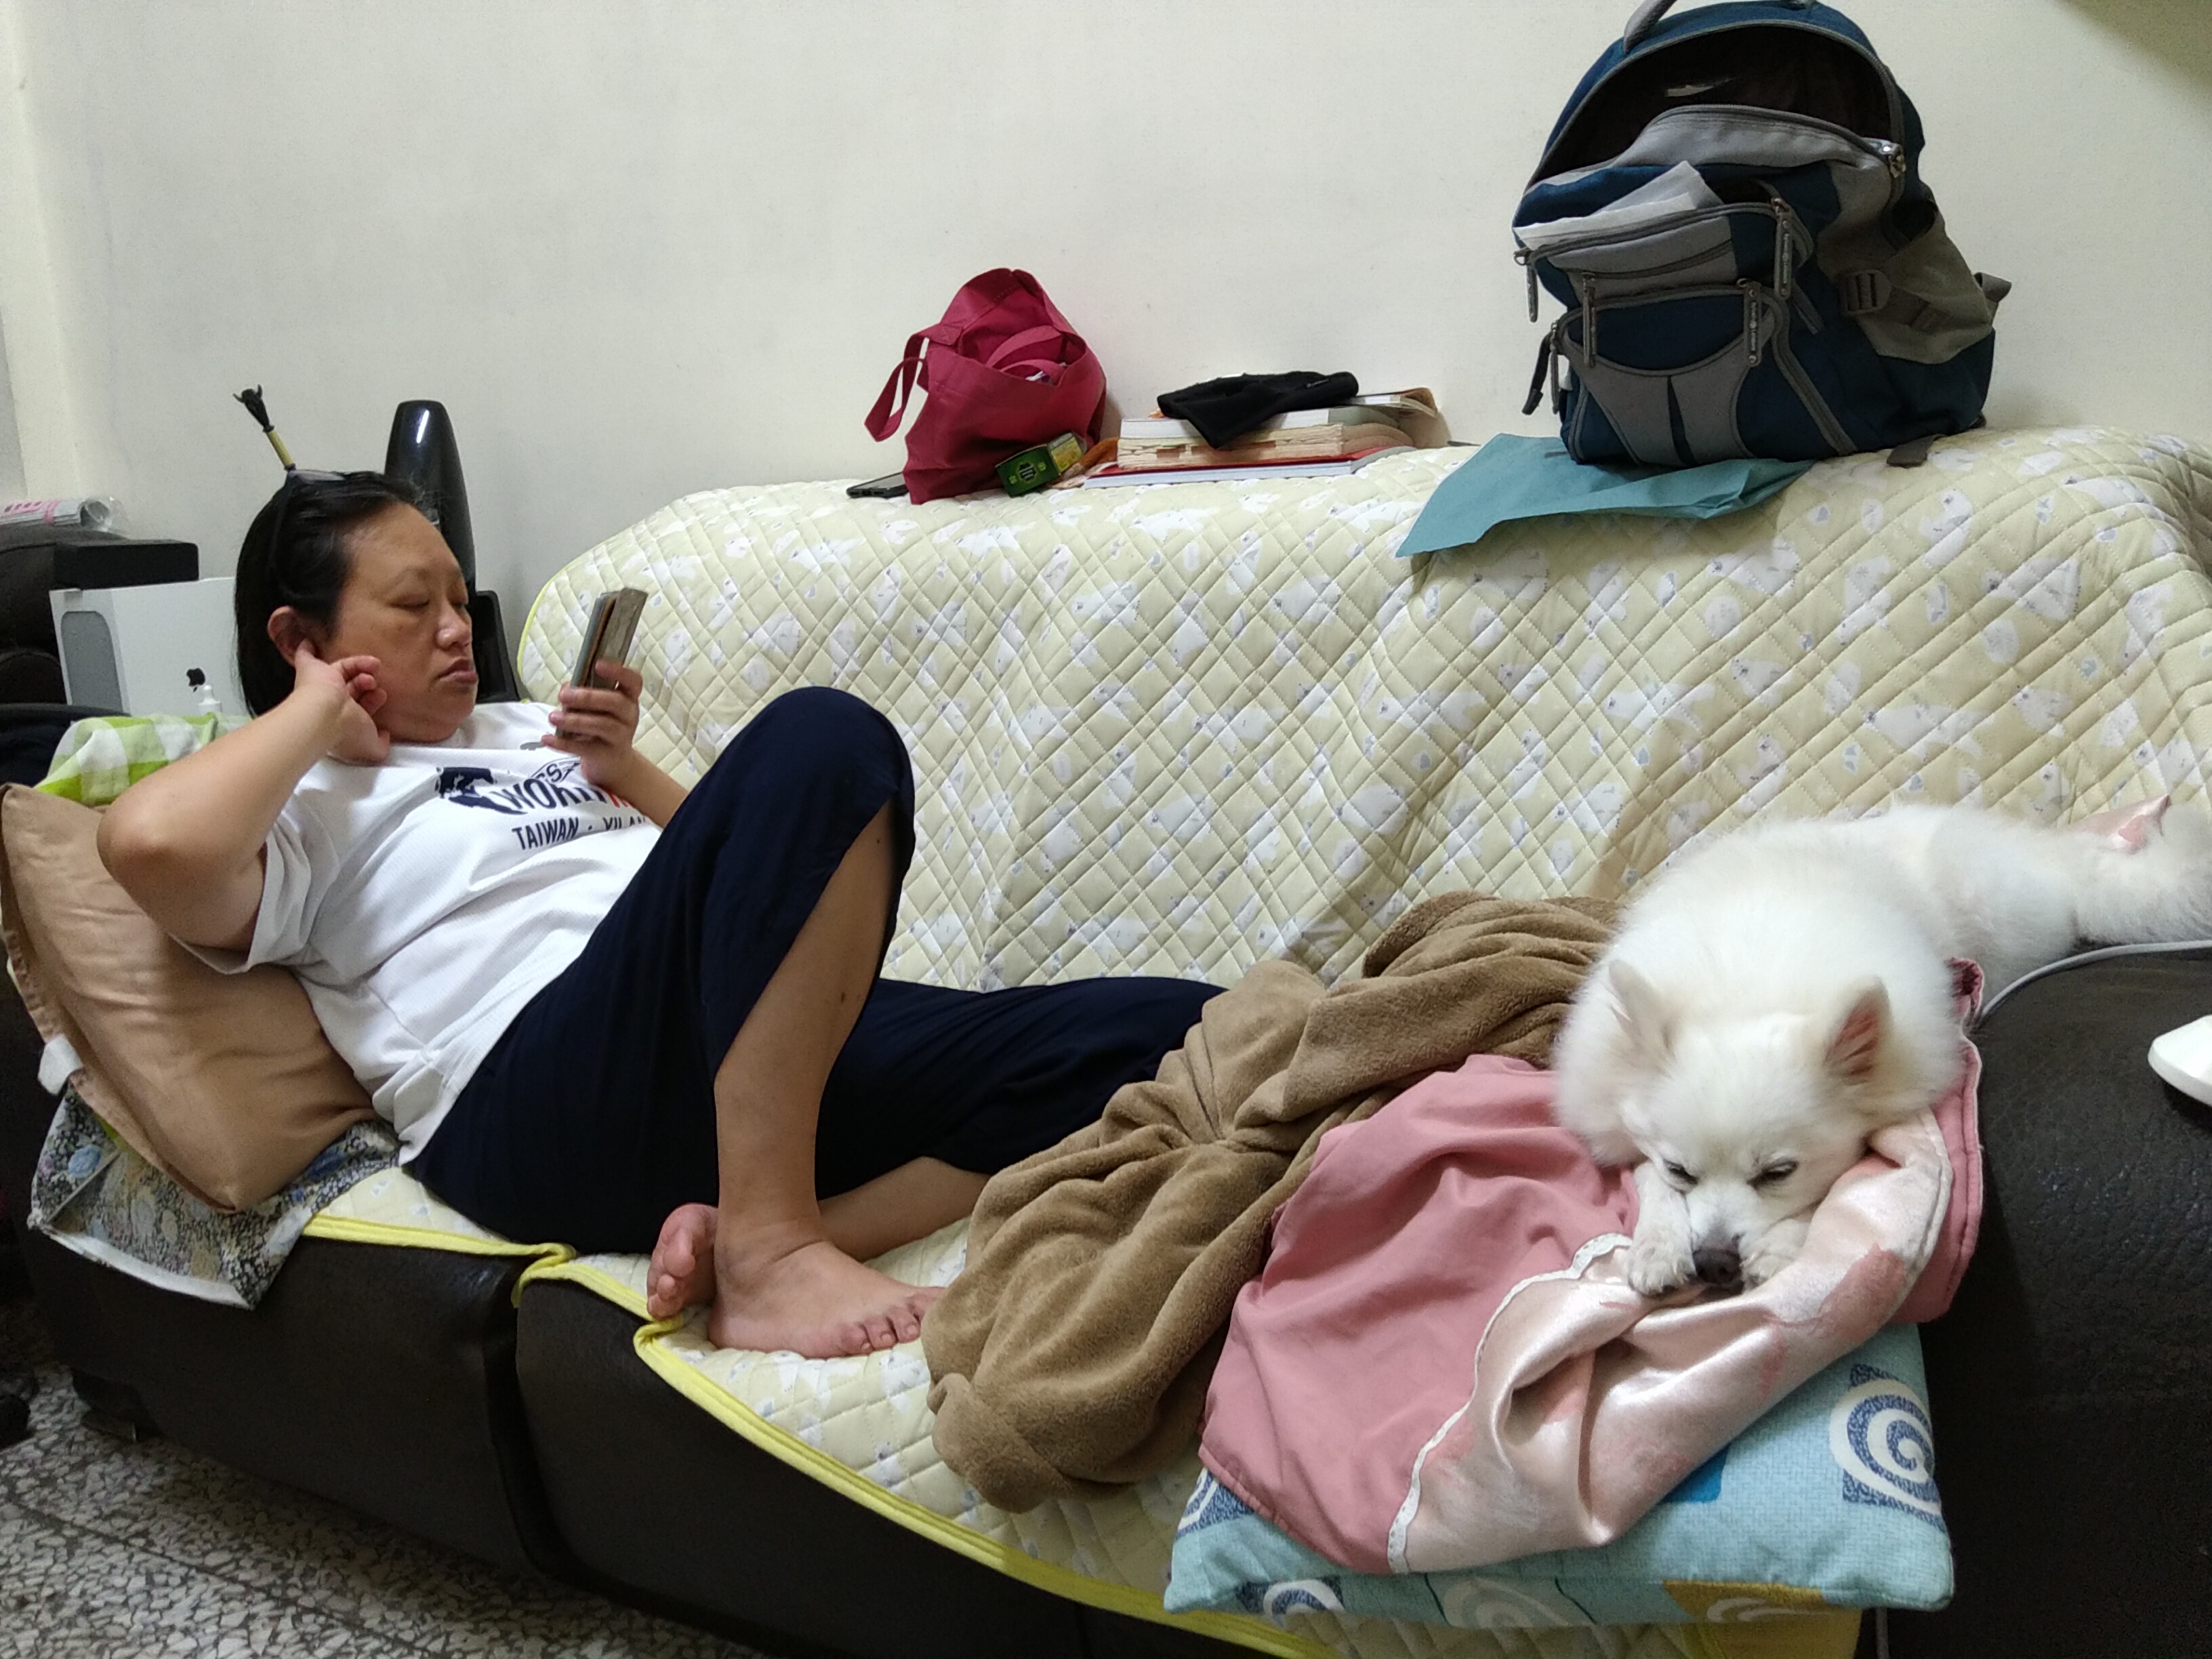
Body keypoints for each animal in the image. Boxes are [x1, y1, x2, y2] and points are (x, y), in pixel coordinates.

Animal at [1551, 796, 2212, 1297]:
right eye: (1682, 1171)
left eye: (1778, 1174)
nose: (1714, 1261)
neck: (1745, 993)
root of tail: (2042, 856)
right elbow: (1643, 1174)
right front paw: (1657, 1243)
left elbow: (1832, 1187)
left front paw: (1778, 1247)